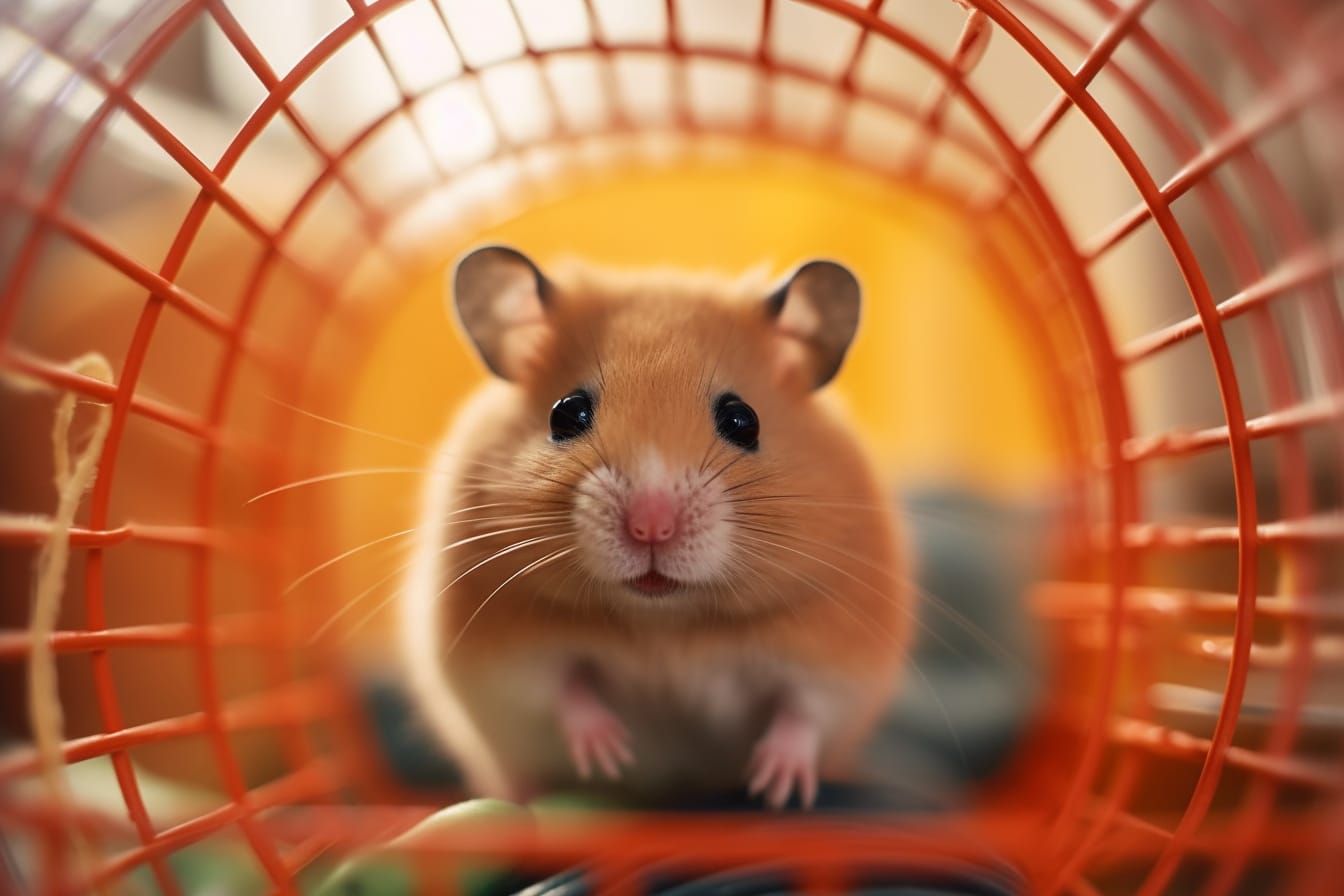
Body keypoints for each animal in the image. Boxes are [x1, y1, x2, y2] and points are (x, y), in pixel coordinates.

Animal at [400, 246, 910, 809]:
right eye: (566, 414)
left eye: (743, 420)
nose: (650, 528)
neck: (664, 623)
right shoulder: (511, 661)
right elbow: (566, 691)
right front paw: (610, 756)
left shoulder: (835, 661)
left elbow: (801, 713)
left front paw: (774, 787)